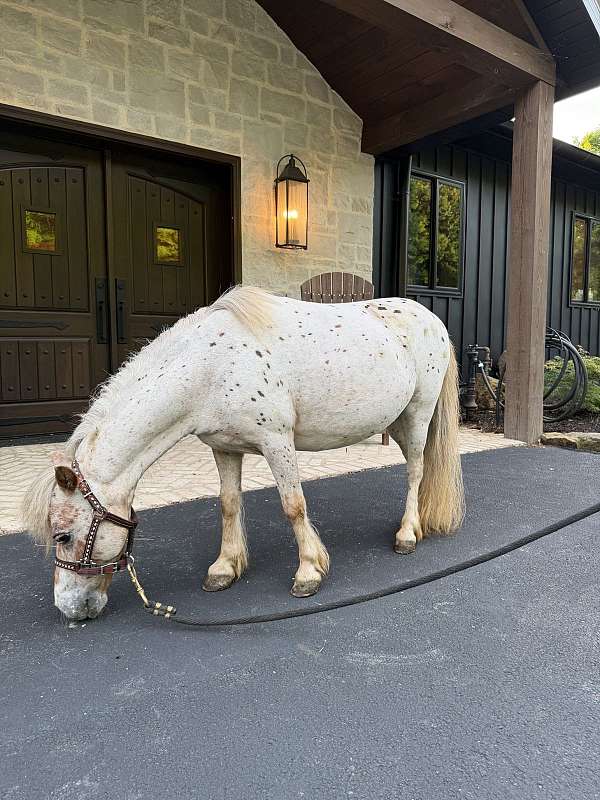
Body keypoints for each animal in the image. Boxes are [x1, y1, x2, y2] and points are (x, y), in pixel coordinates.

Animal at [22, 286, 465, 621]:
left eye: (63, 535)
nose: (69, 609)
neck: (209, 367)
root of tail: (432, 319)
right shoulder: (224, 448)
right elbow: (228, 504)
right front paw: (225, 568)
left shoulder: (277, 442)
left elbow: (293, 506)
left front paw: (308, 572)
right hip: (398, 421)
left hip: (418, 414)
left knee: (415, 471)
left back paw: (407, 534)